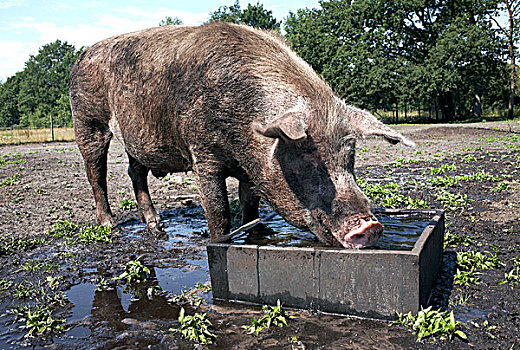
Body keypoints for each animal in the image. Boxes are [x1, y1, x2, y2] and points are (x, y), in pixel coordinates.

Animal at [69, 22, 412, 249]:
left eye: (350, 157)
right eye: (308, 157)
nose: (371, 224)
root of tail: (81, 55)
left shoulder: (251, 168)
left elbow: (250, 207)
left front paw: (257, 236)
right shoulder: (202, 152)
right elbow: (218, 210)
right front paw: (221, 241)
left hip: (135, 136)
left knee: (135, 171)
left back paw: (155, 226)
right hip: (87, 121)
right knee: (95, 172)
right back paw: (110, 226)